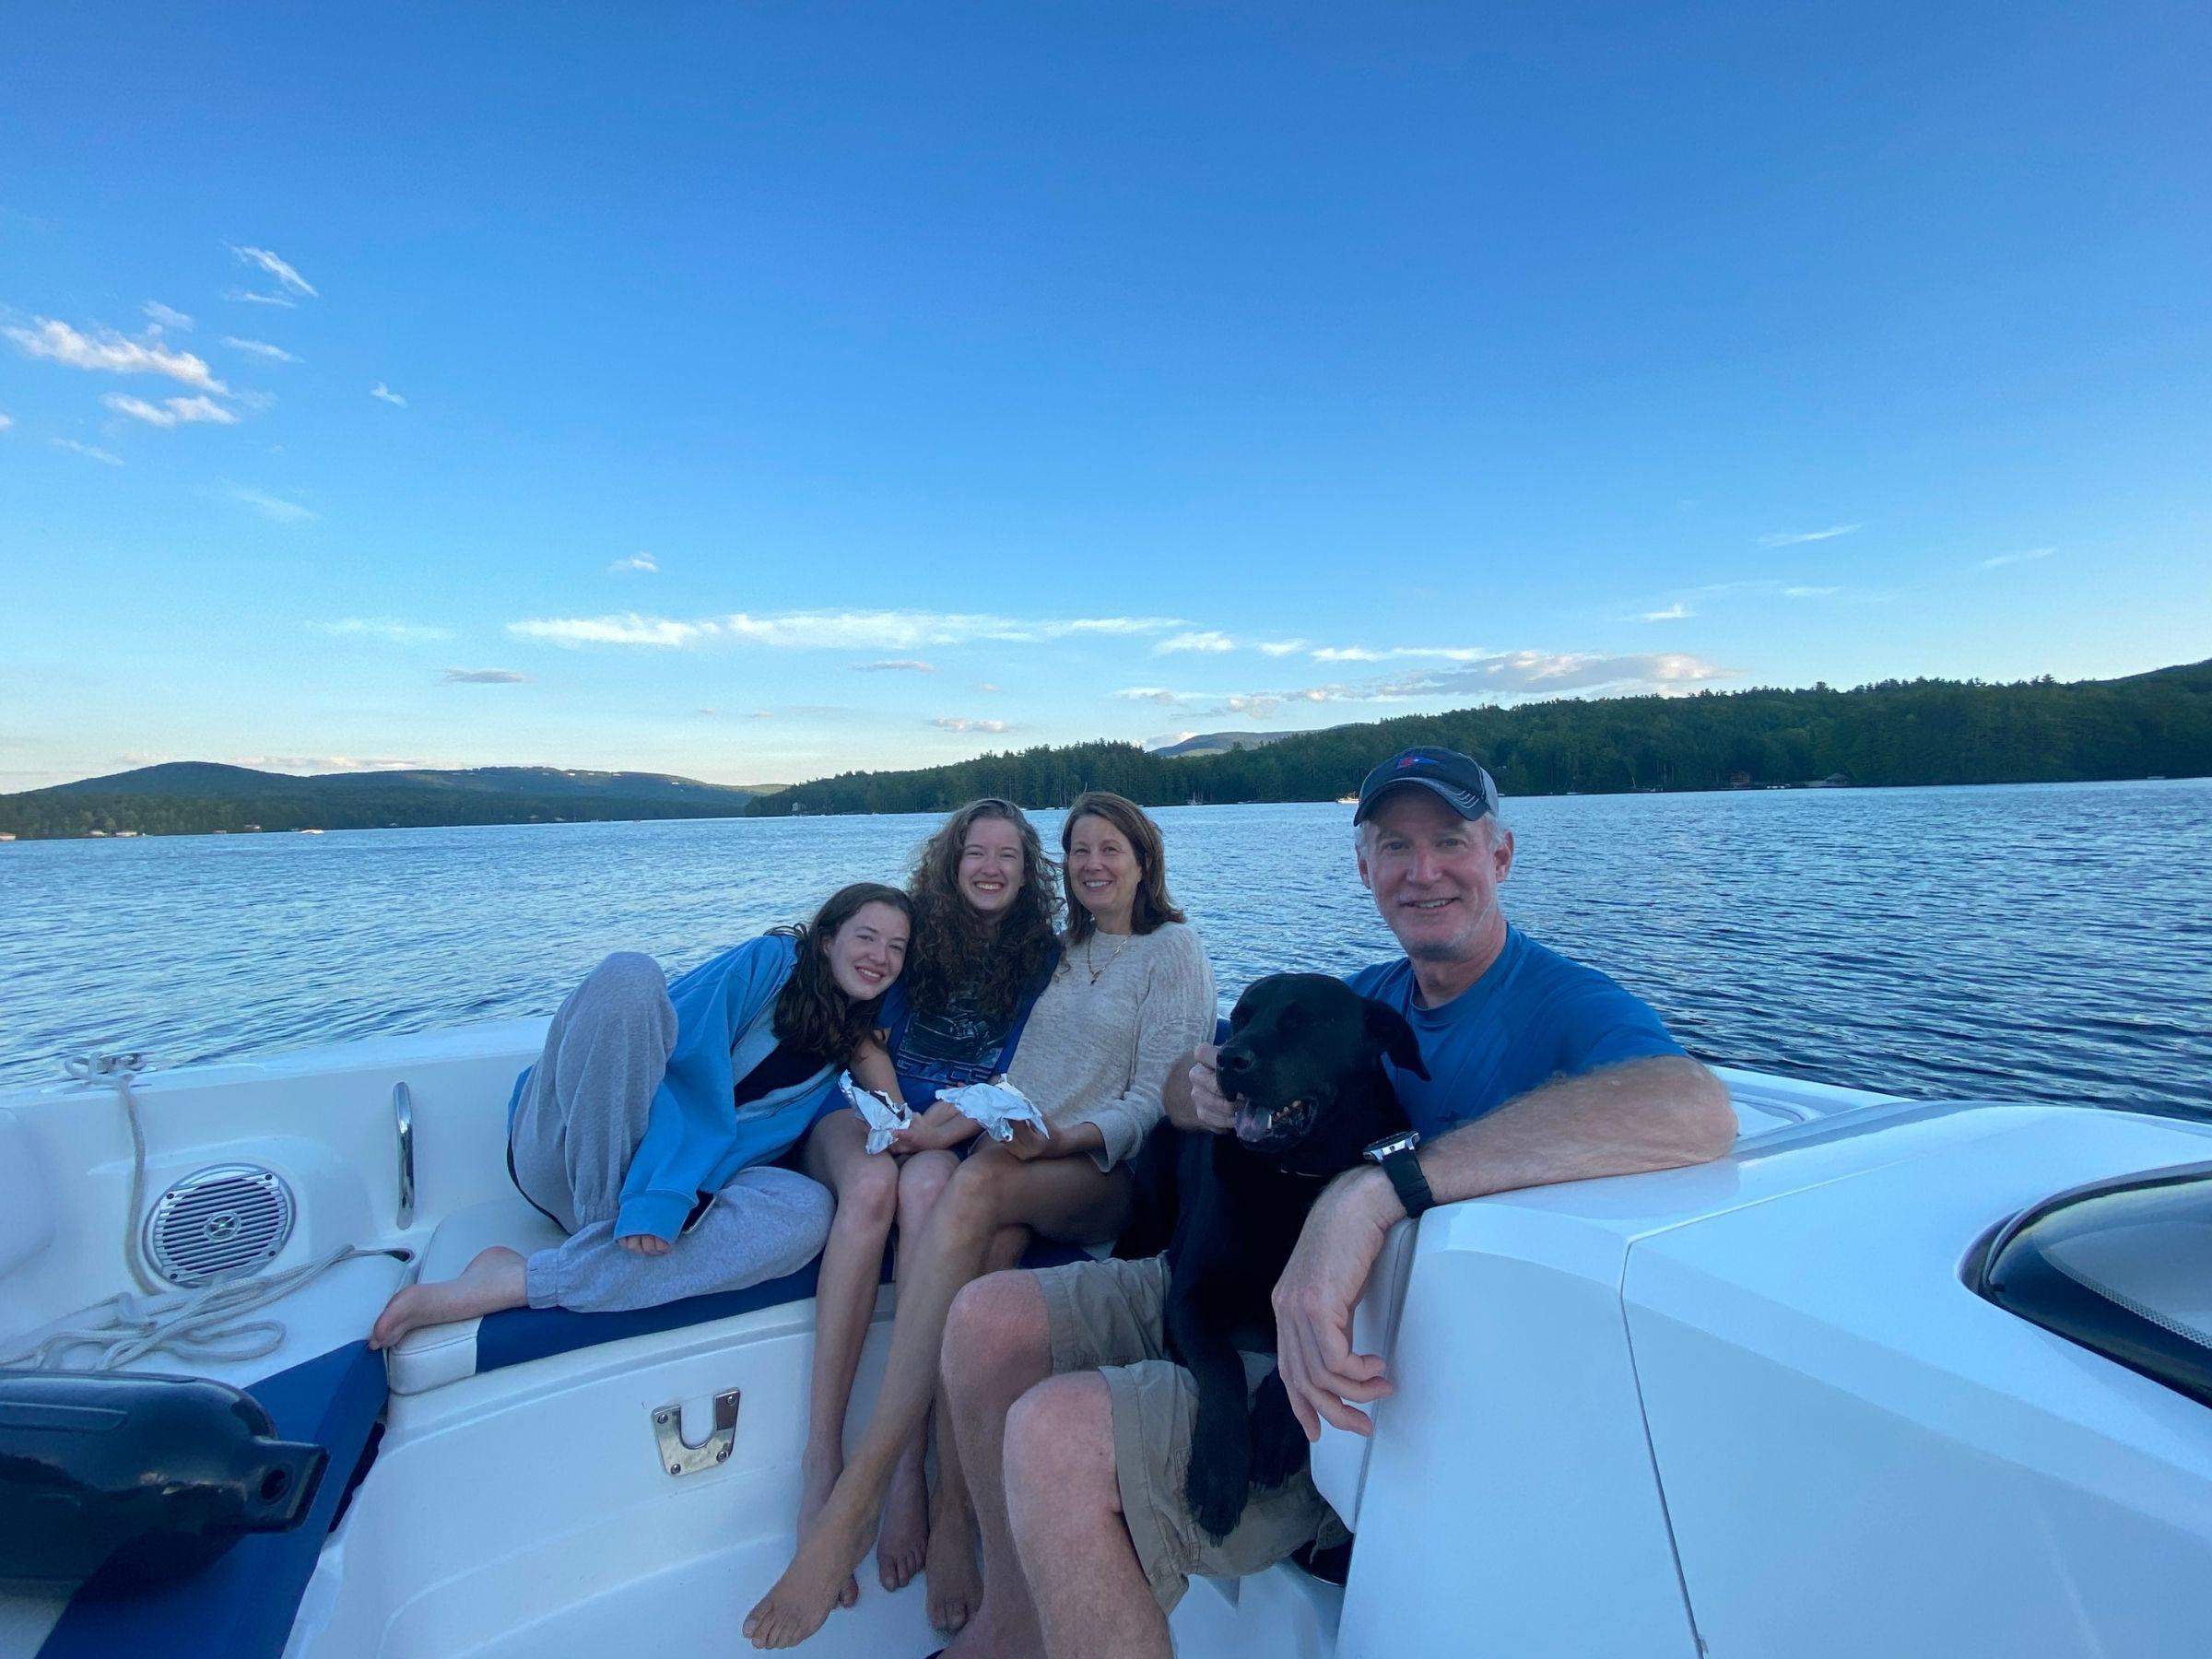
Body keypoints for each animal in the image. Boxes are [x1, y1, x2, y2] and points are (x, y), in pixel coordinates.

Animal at [1124, 973, 1416, 1548]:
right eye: (1241, 1015)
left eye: (1302, 1021)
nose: (1227, 1059)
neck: (1290, 1176)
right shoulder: (1188, 1297)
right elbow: (1224, 1363)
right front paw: (1219, 1471)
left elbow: (1295, 1351)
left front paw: (1278, 1433)